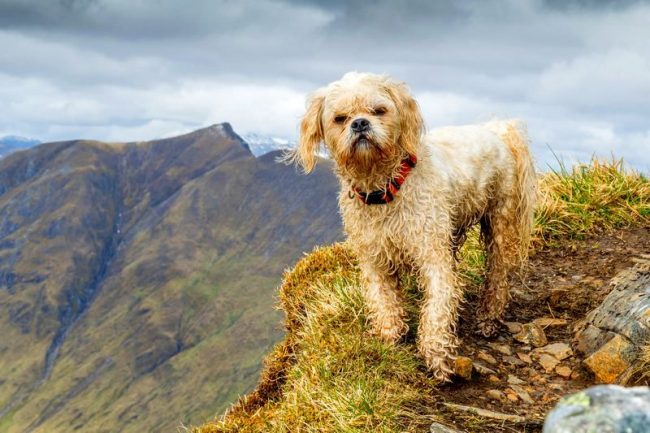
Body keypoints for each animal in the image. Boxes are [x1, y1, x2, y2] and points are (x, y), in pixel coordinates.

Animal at [290, 71, 536, 378]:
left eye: (379, 110)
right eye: (340, 118)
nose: (360, 124)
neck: (386, 190)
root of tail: (497, 129)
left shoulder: (432, 257)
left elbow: (437, 307)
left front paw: (437, 355)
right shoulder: (375, 260)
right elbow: (383, 301)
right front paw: (389, 337)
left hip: (499, 224)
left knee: (498, 277)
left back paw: (489, 318)